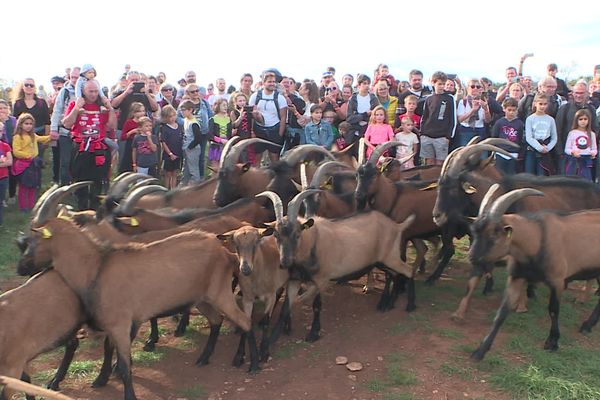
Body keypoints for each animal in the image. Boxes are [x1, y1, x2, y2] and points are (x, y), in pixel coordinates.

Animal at [18, 188, 252, 400]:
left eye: (34, 238)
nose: (21, 268)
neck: (97, 267)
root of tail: (226, 251)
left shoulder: (121, 324)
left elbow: (124, 365)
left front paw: (126, 391)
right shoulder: (113, 325)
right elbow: (108, 349)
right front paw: (100, 379)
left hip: (219, 293)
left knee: (244, 321)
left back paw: (247, 360)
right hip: (202, 298)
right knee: (216, 320)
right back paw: (204, 357)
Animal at [255, 190, 414, 340]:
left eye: (297, 234)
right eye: (276, 235)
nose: (285, 262)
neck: (313, 241)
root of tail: (397, 226)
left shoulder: (322, 279)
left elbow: (316, 306)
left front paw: (313, 334)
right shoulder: (295, 280)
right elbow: (285, 309)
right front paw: (271, 340)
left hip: (390, 257)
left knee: (408, 270)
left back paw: (409, 306)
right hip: (382, 261)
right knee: (393, 274)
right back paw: (387, 303)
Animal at [472, 189, 600, 360]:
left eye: (493, 234)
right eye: (474, 232)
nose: (472, 257)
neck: (537, 239)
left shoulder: (557, 280)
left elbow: (553, 310)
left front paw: (552, 343)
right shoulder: (516, 277)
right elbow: (502, 312)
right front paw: (480, 350)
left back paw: (587, 325)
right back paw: (588, 325)